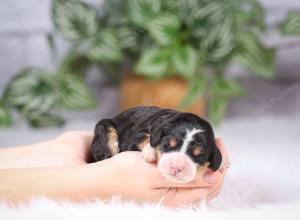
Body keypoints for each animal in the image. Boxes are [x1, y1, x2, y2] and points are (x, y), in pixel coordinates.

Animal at [90, 105, 221, 183]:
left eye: (199, 155)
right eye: (167, 144)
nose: (177, 167)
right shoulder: (136, 136)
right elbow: (145, 138)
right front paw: (150, 151)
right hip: (104, 128)